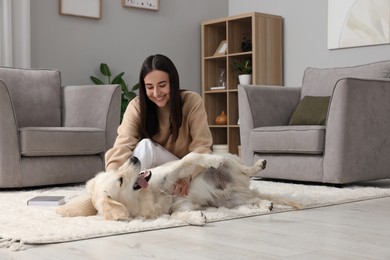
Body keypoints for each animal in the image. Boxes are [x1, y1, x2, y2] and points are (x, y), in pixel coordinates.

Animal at [57, 152, 280, 225]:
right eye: (120, 179)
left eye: (116, 172)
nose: (134, 158)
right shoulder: (180, 205)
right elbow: (175, 215)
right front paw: (197, 217)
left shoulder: (172, 172)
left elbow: (192, 157)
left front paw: (211, 160)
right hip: (229, 199)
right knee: (252, 197)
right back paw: (265, 204)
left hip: (232, 165)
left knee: (244, 168)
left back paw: (258, 165)